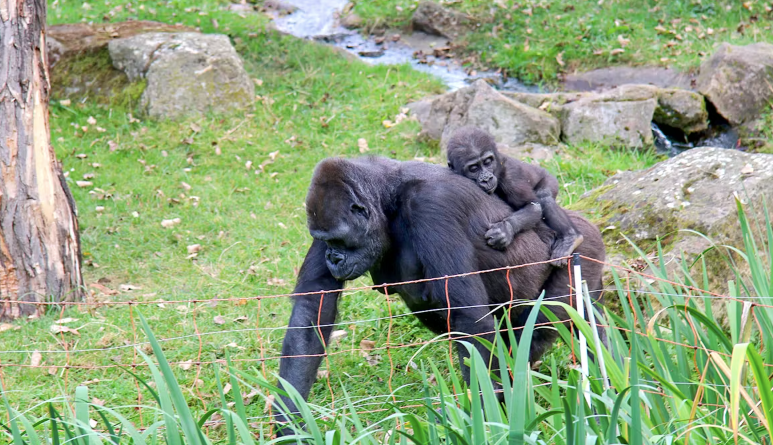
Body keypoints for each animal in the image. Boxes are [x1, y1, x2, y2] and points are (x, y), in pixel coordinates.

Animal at [274, 158, 608, 418]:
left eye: (338, 241)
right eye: (325, 240)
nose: (333, 257)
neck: (389, 197)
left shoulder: (431, 205)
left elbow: (470, 321)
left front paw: (486, 419)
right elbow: (312, 308)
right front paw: (290, 421)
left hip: (582, 257)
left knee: (543, 325)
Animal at [444, 125, 584, 264]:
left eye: (487, 162)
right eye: (473, 168)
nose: (487, 179)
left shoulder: (511, 177)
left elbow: (532, 206)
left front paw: (505, 230)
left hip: (550, 179)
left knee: (544, 196)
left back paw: (571, 238)